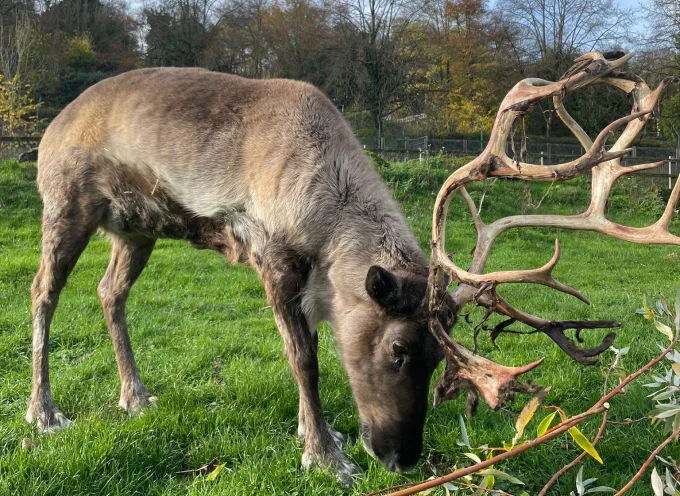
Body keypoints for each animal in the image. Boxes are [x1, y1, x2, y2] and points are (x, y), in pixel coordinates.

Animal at [27, 51, 678, 486]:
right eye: (398, 349)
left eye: (440, 358)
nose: (402, 457)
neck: (327, 212)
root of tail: (51, 125)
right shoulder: (272, 257)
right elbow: (305, 360)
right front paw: (326, 455)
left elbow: (310, 350)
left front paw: (318, 434)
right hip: (67, 203)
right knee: (43, 293)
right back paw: (45, 412)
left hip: (135, 227)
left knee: (109, 293)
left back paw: (134, 396)